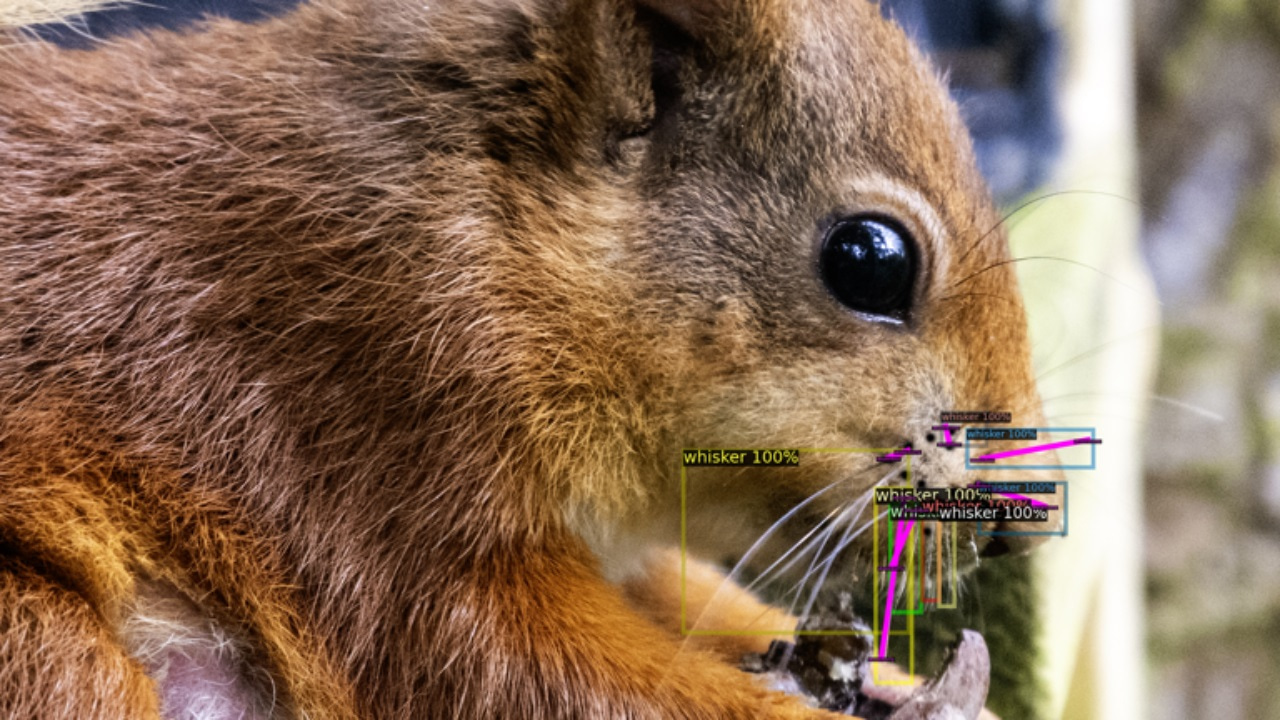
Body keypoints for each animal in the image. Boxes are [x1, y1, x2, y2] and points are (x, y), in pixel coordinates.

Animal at [0, 0, 1064, 717]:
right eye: (869, 259)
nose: (1013, 533)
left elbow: (686, 597)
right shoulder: (348, 436)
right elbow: (513, 665)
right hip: (49, 655)